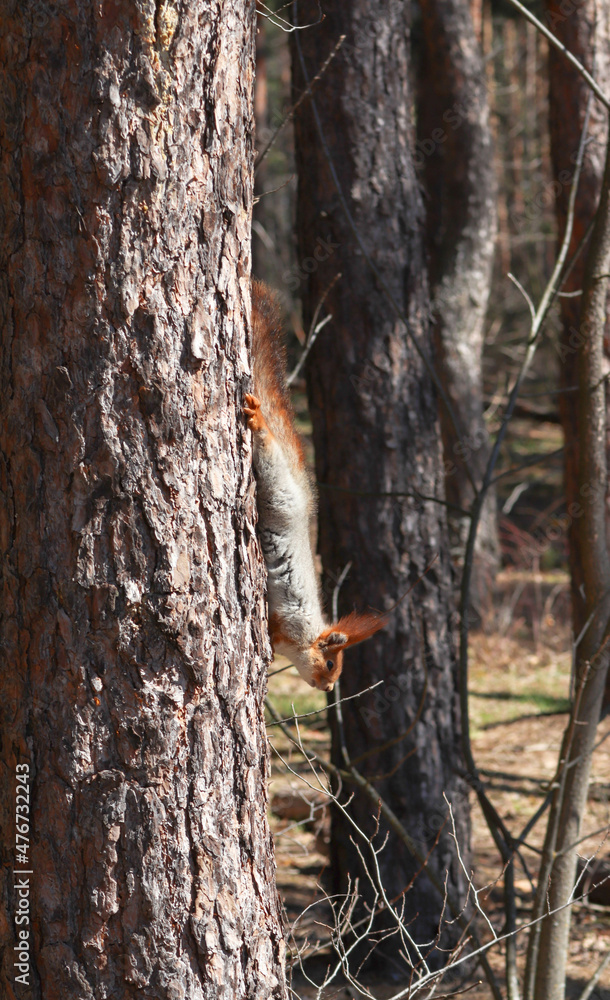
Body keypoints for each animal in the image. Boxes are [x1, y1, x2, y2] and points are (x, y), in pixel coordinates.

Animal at [244, 281, 387, 692]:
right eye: (330, 663)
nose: (327, 688)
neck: (306, 633)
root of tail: (303, 495)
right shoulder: (288, 620)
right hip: (278, 487)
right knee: (268, 449)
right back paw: (258, 421)